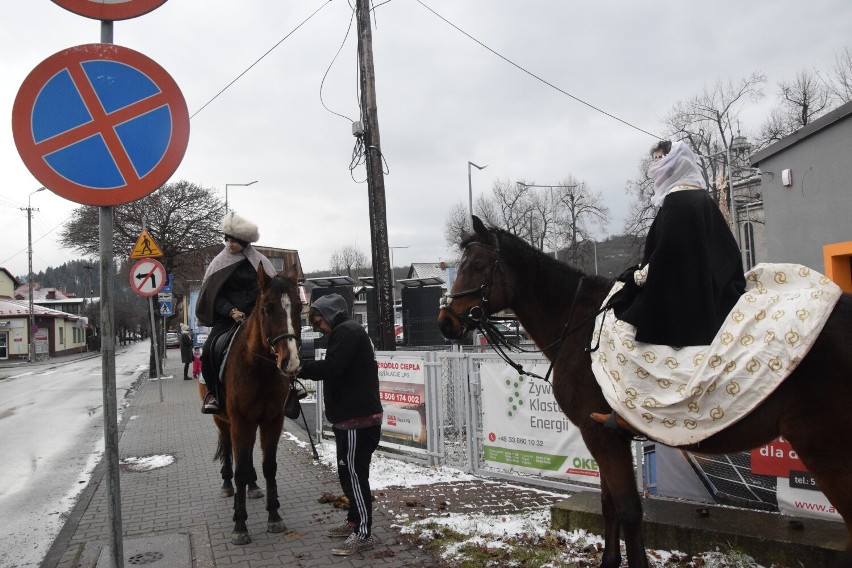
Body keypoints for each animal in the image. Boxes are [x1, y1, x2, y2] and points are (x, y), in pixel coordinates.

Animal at [197, 266, 302, 544]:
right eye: (267, 308)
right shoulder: (240, 422)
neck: (259, 369)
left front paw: (274, 516)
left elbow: (269, 466)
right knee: (229, 452)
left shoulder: (271, 421)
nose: (291, 362)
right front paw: (240, 525)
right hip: (223, 421)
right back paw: (227, 486)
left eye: (299, 307)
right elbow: (240, 470)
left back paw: (253, 487)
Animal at [440, 215, 852, 564]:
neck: (579, 326)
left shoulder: (602, 436)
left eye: (477, 267)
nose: (446, 322)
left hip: (825, 450)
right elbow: (609, 506)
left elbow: (628, 511)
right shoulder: (607, 437)